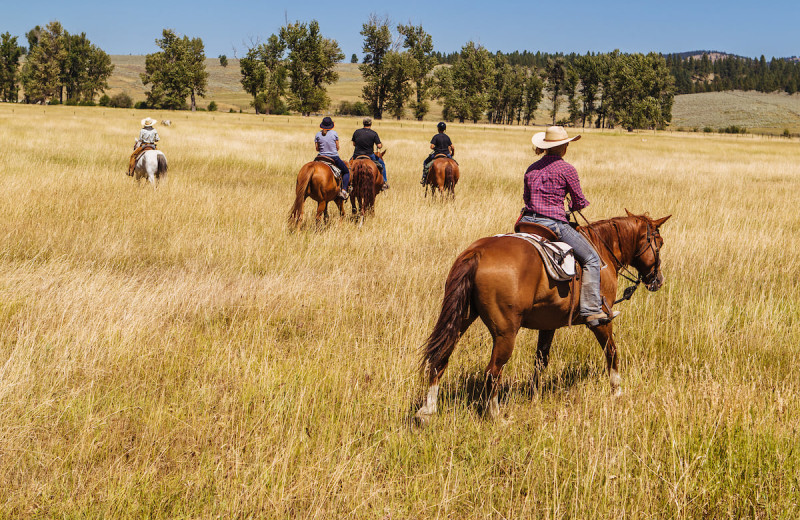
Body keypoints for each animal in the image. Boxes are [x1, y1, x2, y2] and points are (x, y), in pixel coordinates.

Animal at [412, 211, 668, 422]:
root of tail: (478, 252)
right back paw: (496, 416)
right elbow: (612, 352)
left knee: (440, 358)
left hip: (462, 318)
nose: (658, 280)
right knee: (492, 372)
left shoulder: (548, 325)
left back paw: (427, 410)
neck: (602, 250)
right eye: (660, 243)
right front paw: (617, 391)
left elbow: (541, 361)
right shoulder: (601, 321)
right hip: (505, 333)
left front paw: (534, 396)